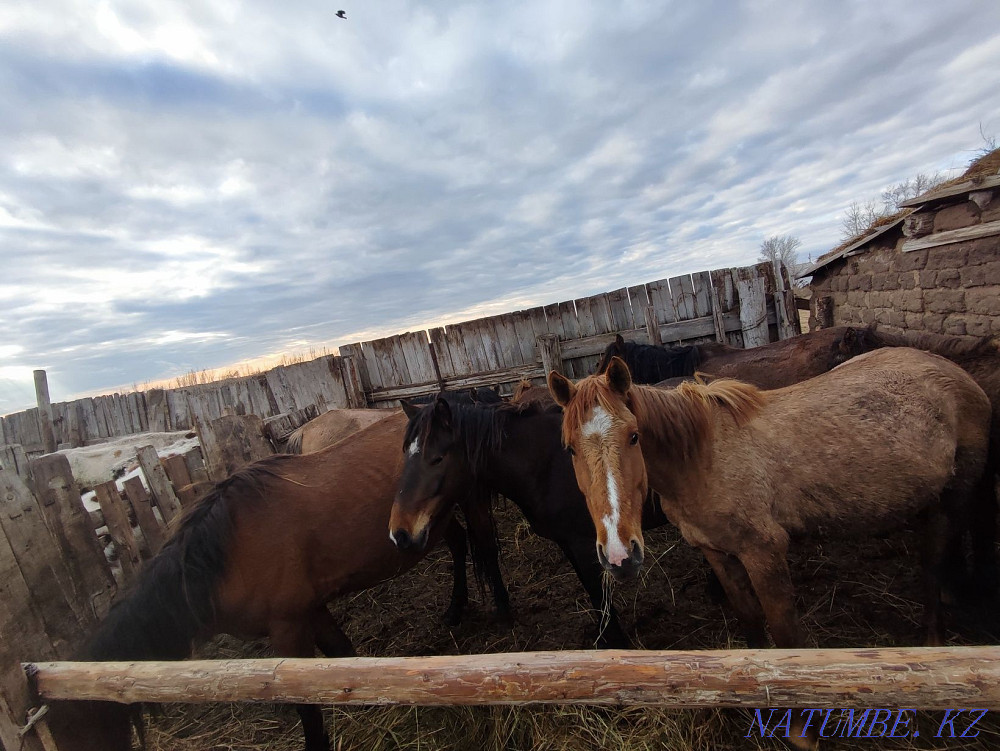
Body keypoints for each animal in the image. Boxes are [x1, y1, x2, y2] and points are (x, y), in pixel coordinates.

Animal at [64, 412, 507, 751]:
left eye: (85, 728)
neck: (226, 554)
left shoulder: (288, 629)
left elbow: (305, 700)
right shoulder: (311, 609)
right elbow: (342, 658)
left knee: (486, 546)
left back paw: (503, 612)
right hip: (430, 525)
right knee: (459, 545)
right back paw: (455, 608)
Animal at [387, 385, 670, 648]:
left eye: (437, 459)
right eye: (405, 454)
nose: (399, 533)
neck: (547, 463)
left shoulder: (586, 545)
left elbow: (601, 598)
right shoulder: (569, 543)